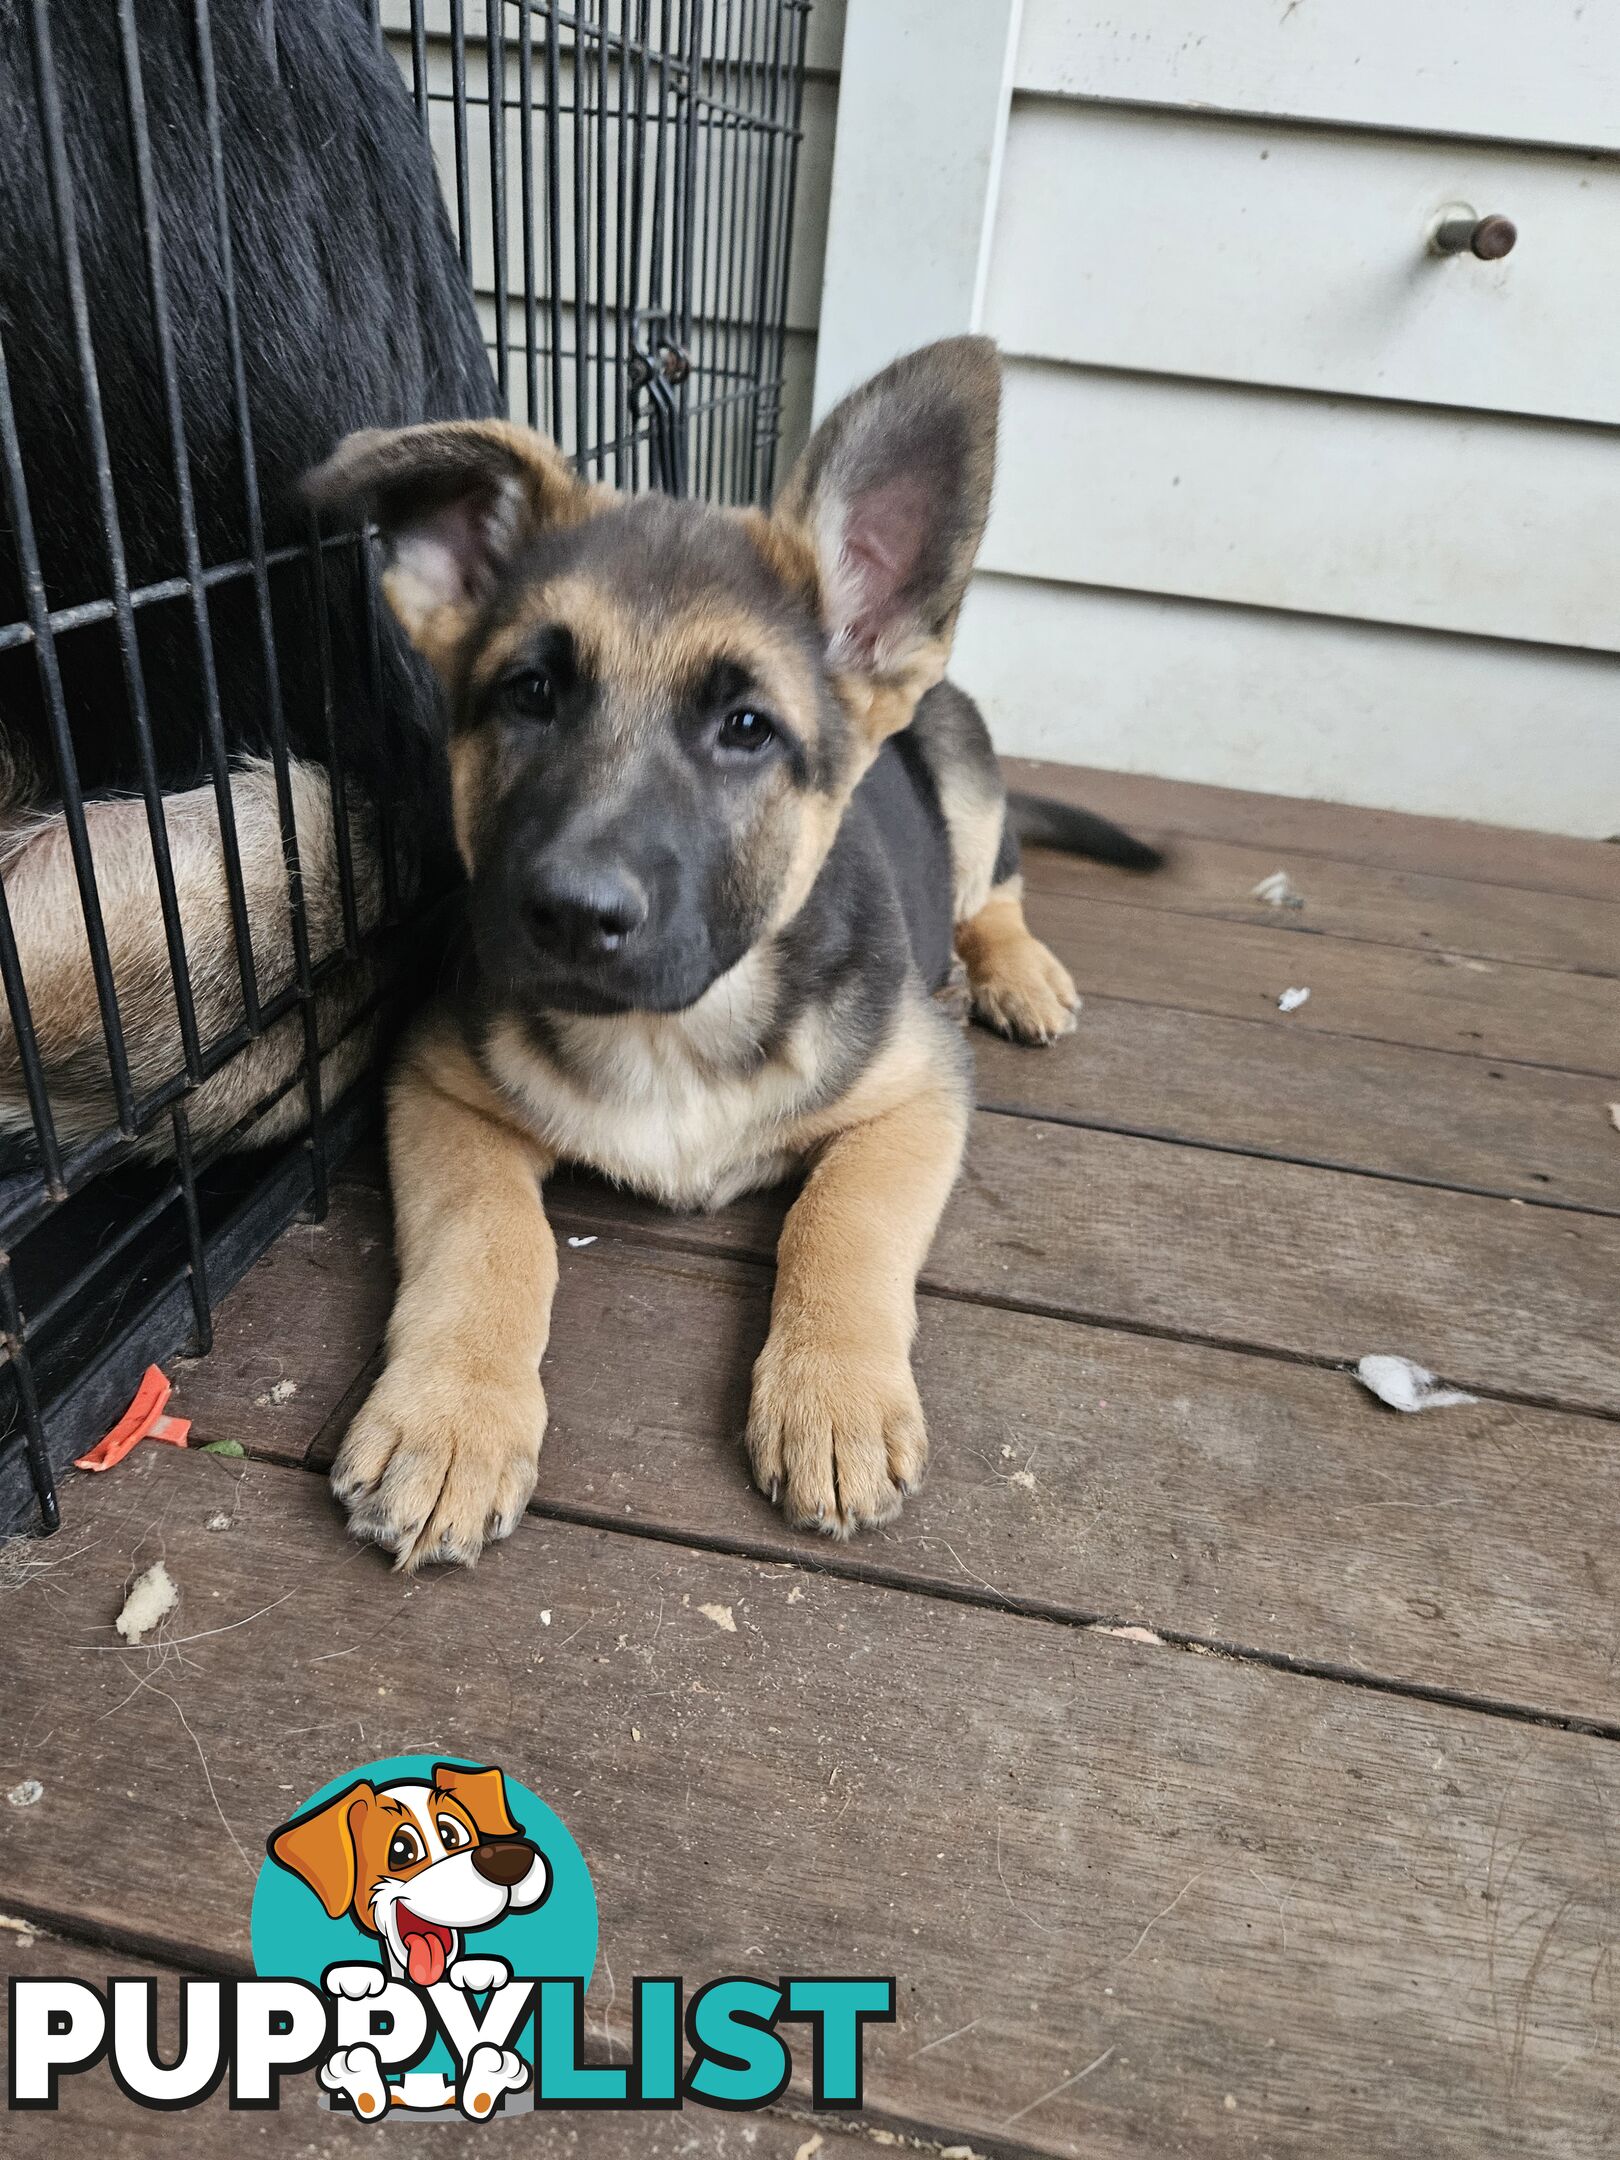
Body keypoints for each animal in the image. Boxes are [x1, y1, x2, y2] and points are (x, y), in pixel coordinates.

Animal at [311, 345, 1157, 1581]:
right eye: (530, 694)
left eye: (747, 729)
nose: (571, 915)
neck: (674, 1029)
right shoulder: (435, 1084)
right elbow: (490, 1237)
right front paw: (449, 1418)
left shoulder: (918, 1095)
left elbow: (839, 1222)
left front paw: (832, 1399)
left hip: (962, 766)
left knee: (995, 883)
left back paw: (1013, 972)